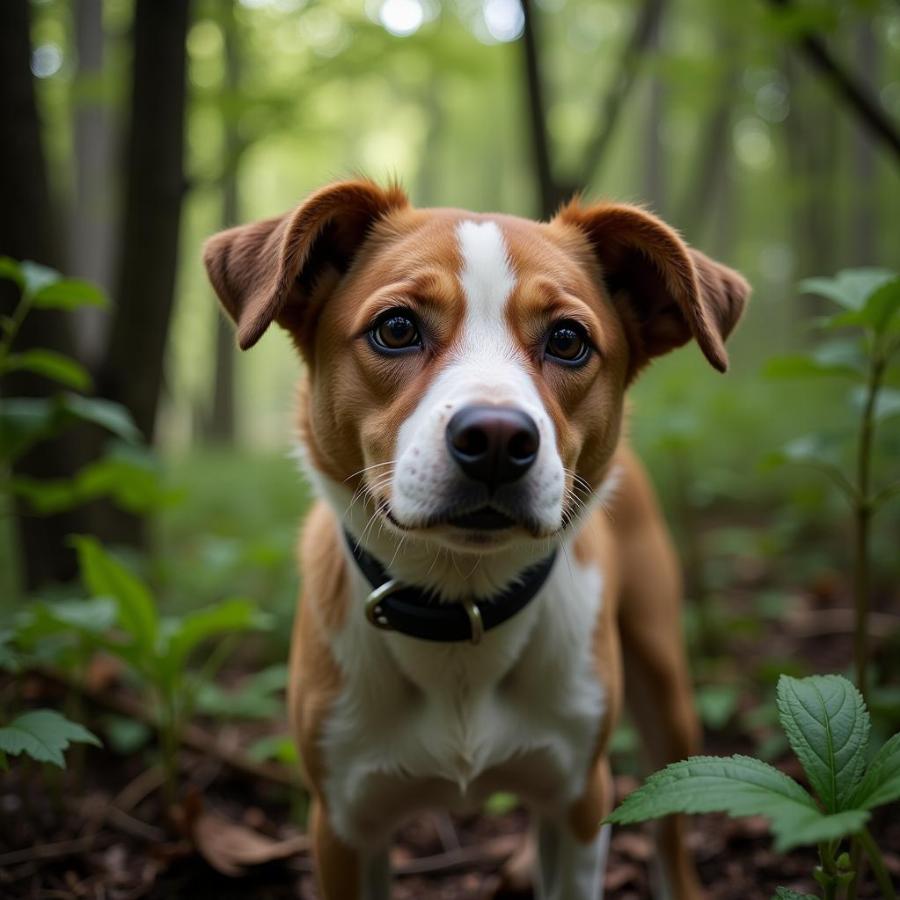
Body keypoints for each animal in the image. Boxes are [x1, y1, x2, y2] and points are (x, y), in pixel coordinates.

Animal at [202, 178, 744, 900]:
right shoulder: (341, 822)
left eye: (568, 339)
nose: (496, 437)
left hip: (664, 684)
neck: (461, 608)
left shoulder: (581, 799)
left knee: (673, 825)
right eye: (396, 328)